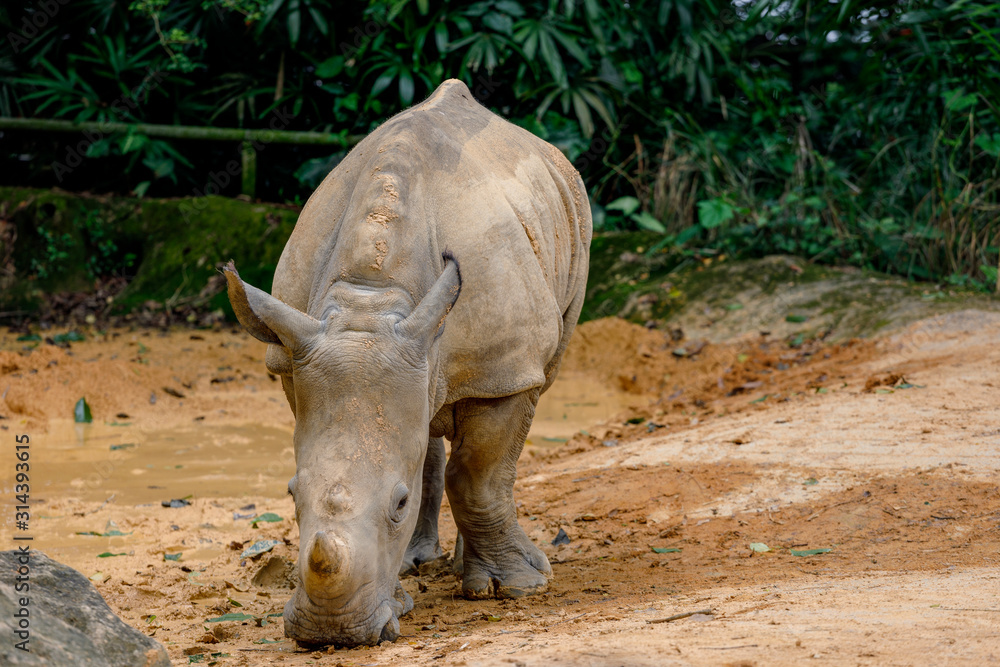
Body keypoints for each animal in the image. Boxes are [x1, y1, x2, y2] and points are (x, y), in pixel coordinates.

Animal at [224, 79, 591, 647]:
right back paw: (418, 563)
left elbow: (480, 475)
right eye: (290, 494)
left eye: (397, 504)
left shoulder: (504, 367)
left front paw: (516, 589)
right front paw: (398, 596)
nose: (332, 635)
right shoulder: (295, 352)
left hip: (573, 214)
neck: (370, 302)